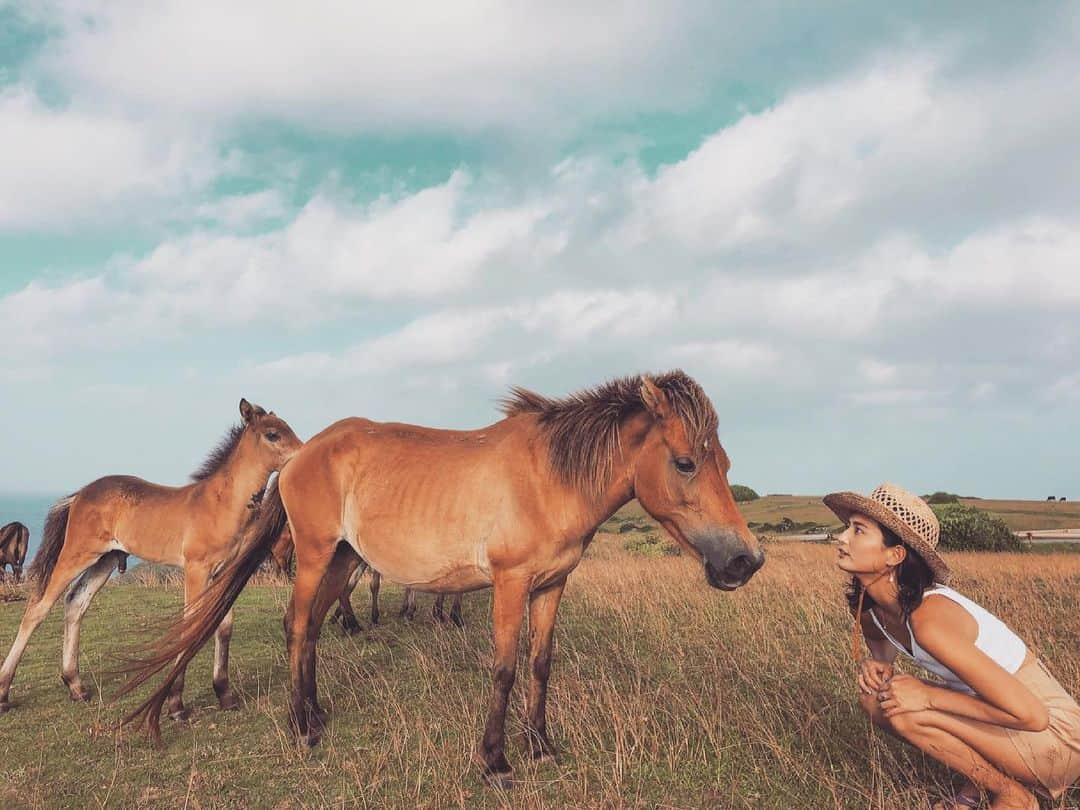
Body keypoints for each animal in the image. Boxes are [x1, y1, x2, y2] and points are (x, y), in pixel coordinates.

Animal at [0, 401, 300, 717]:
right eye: (272, 434)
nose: (301, 455)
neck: (221, 503)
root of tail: (79, 494)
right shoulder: (196, 568)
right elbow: (190, 624)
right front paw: (176, 703)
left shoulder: (224, 571)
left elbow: (223, 625)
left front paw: (225, 694)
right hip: (77, 553)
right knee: (38, 607)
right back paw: (5, 692)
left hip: (106, 559)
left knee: (75, 602)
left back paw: (75, 686)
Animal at [118, 373, 764, 786]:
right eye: (685, 462)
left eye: (725, 463)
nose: (744, 562)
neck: (549, 477)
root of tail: (299, 457)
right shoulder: (510, 584)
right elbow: (504, 667)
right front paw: (495, 760)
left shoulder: (551, 587)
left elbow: (540, 663)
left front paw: (541, 745)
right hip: (317, 554)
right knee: (297, 626)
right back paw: (302, 728)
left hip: (344, 561)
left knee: (313, 630)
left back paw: (318, 714)